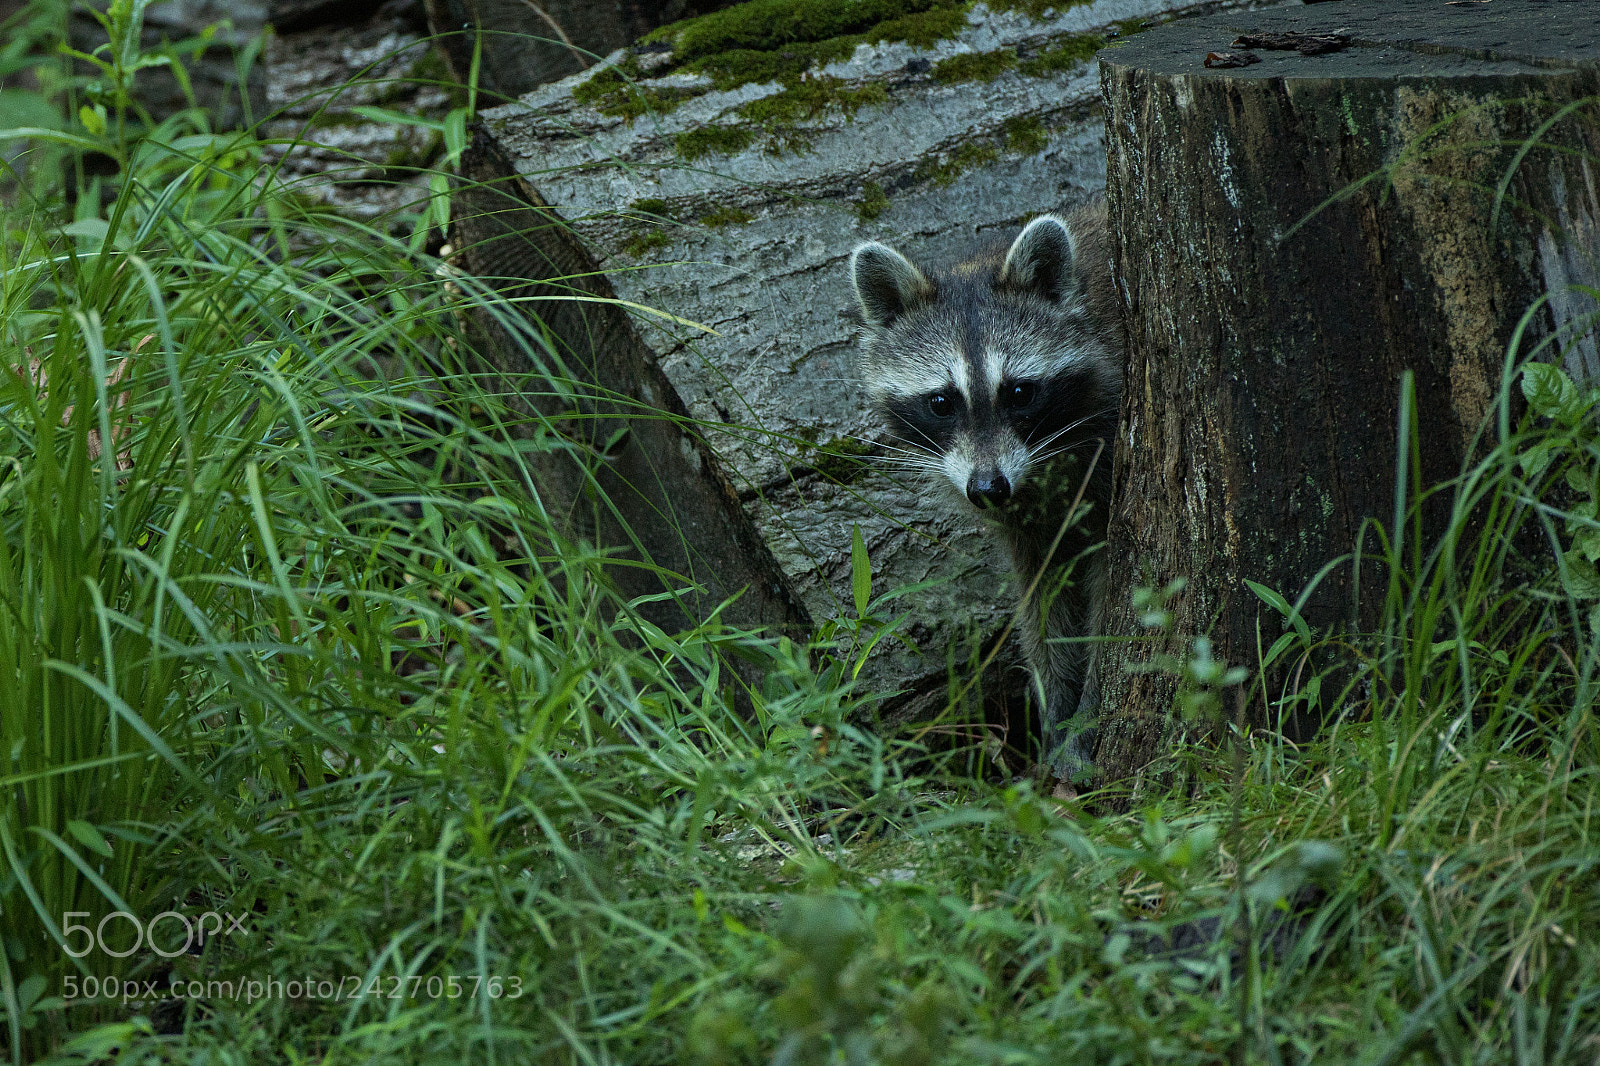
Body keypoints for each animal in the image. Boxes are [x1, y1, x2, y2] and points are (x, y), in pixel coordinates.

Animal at [849, 201, 1122, 785]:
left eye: (1019, 393)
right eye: (941, 402)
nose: (988, 488)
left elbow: (1111, 598)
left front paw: (1087, 717)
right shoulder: (1024, 519)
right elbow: (1042, 599)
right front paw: (1056, 709)